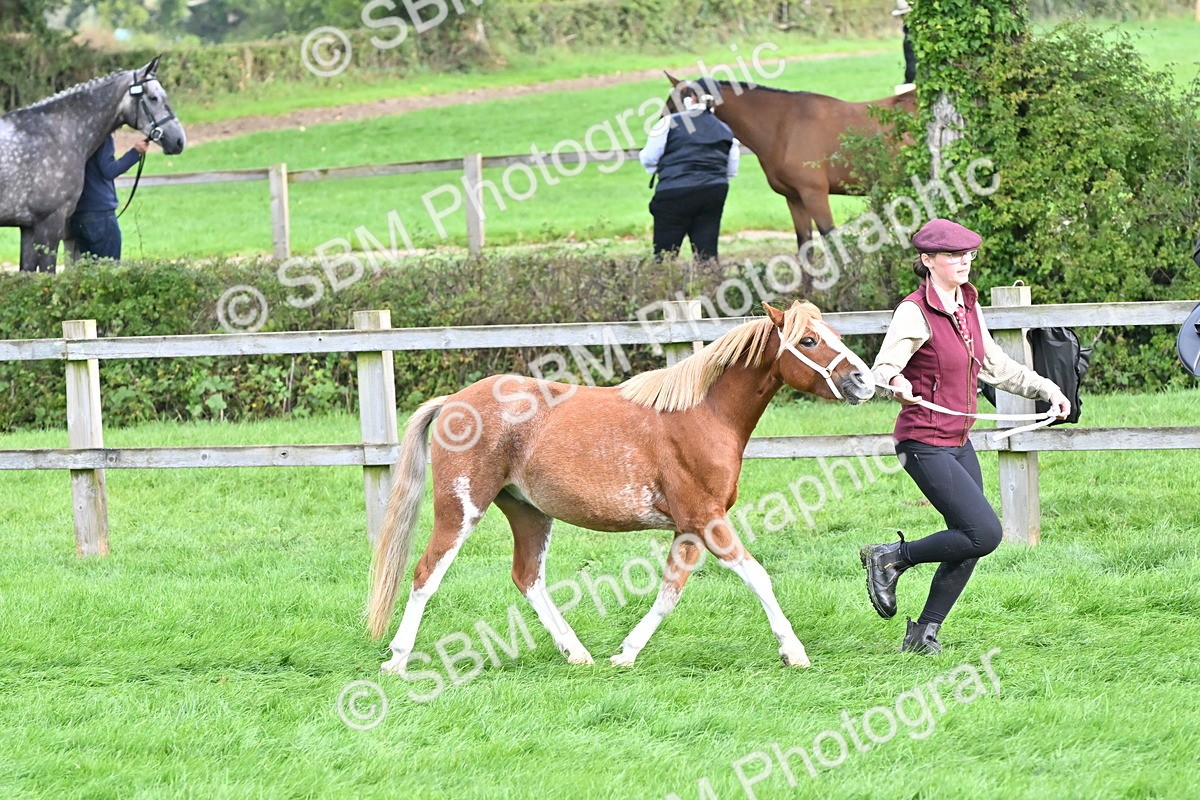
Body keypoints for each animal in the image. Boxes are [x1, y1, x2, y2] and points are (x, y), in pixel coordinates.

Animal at [367, 301, 876, 673]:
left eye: (835, 334)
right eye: (808, 340)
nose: (864, 381)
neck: (702, 414)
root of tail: (452, 401)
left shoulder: (688, 528)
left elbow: (670, 591)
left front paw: (626, 653)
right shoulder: (707, 519)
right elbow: (757, 576)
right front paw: (794, 652)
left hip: (529, 512)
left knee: (528, 578)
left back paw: (577, 653)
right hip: (461, 508)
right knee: (425, 574)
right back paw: (397, 660)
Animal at [662, 74, 915, 256]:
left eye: (676, 108)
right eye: (670, 104)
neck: (784, 126)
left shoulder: (814, 194)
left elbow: (832, 243)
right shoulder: (794, 198)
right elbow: (805, 249)